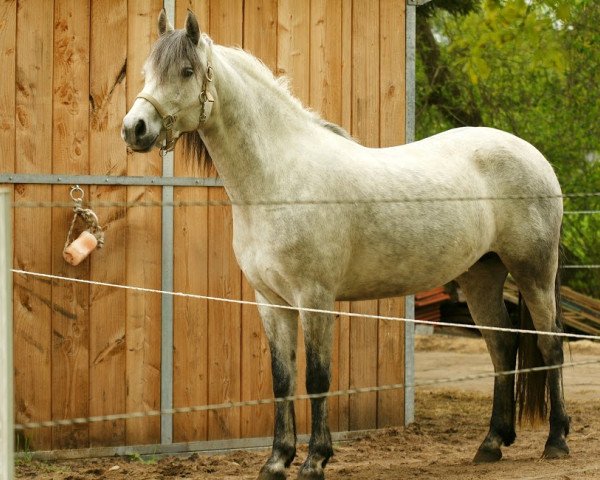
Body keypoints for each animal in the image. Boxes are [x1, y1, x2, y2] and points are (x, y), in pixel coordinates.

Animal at [120, 10, 568, 480]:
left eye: (186, 71)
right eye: (148, 71)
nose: (134, 129)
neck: (279, 179)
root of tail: (536, 158)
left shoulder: (314, 298)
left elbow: (317, 378)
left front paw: (315, 459)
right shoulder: (270, 300)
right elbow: (282, 380)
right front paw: (276, 461)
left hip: (534, 272)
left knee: (551, 343)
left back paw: (556, 441)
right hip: (481, 274)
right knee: (502, 346)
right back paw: (492, 443)